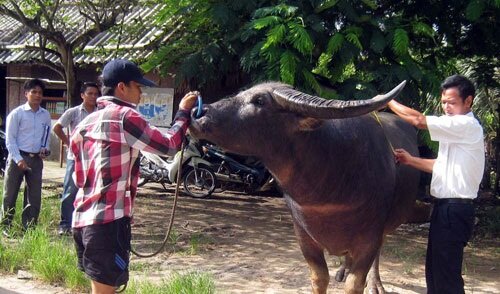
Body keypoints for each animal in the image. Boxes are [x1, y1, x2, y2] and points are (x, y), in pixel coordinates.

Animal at [189, 81, 420, 294]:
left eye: (260, 101)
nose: (197, 113)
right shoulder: (304, 238)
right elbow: (319, 278)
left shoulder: (369, 240)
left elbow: (355, 284)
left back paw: (375, 284)